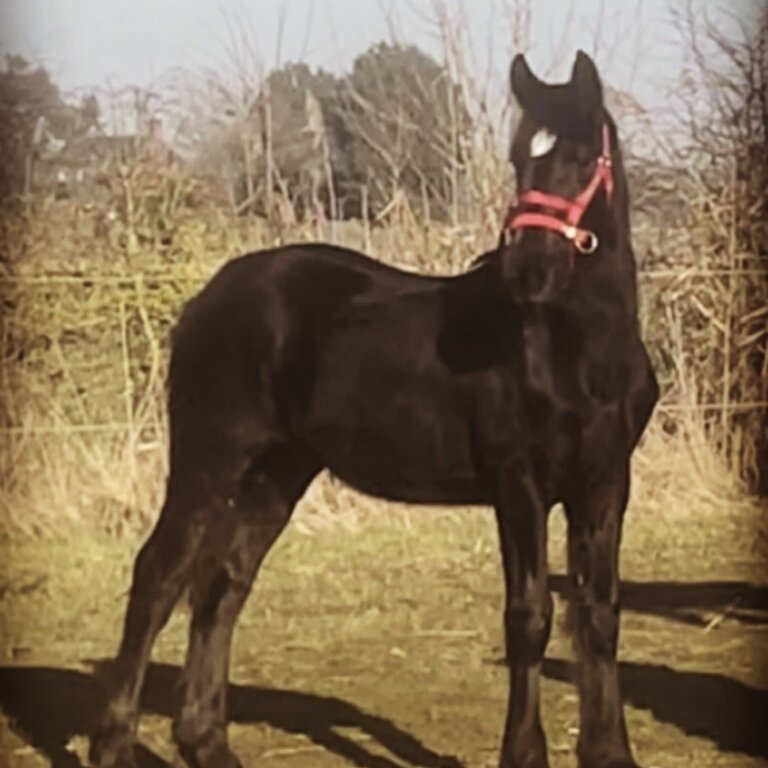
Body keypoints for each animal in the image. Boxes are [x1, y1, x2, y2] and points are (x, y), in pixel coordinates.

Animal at [88, 54, 656, 768]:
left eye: (582, 159)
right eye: (519, 159)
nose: (526, 268)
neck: (576, 351)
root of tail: (207, 299)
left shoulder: (606, 483)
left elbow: (600, 613)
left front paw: (612, 752)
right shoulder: (519, 486)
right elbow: (530, 616)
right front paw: (523, 753)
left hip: (278, 473)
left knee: (222, 585)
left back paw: (206, 742)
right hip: (209, 460)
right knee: (159, 576)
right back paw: (114, 744)